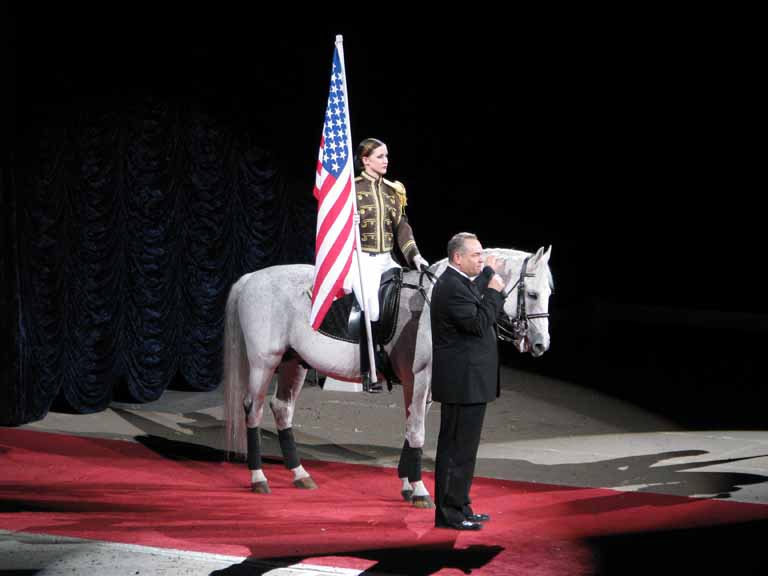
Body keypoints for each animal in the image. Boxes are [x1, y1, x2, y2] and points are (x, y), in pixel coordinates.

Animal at [222, 245, 552, 506]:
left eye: (550, 293)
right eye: (532, 293)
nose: (540, 345)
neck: (434, 301)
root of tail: (252, 277)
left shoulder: (423, 387)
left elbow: (410, 427)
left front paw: (407, 485)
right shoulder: (419, 379)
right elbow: (416, 430)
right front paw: (420, 490)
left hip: (295, 362)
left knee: (282, 409)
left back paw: (299, 474)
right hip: (264, 362)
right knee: (253, 409)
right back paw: (258, 477)